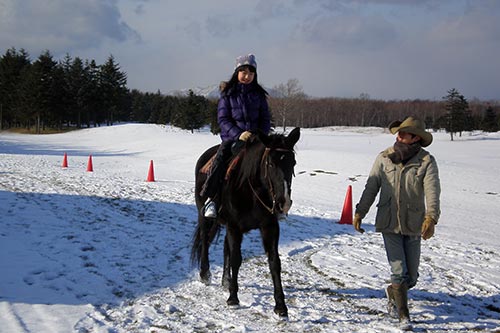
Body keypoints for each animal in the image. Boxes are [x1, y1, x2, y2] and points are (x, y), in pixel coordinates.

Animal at [190, 127, 300, 316]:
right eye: (270, 164)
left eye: (292, 163)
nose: (283, 202)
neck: (251, 190)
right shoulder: (234, 226)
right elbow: (236, 258)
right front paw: (233, 297)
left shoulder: (269, 227)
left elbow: (274, 262)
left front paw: (280, 305)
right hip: (204, 214)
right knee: (205, 240)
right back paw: (205, 274)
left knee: (225, 247)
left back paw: (226, 280)